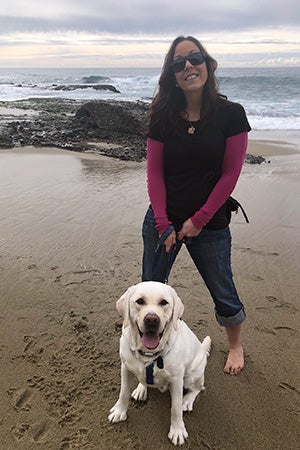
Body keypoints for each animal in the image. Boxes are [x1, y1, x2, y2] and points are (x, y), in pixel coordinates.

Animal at [108, 282, 211, 446]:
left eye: (164, 302)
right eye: (140, 301)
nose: (151, 320)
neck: (149, 355)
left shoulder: (176, 379)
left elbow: (175, 408)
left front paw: (177, 430)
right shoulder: (125, 367)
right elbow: (123, 392)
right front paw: (119, 411)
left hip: (191, 375)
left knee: (198, 388)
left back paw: (187, 400)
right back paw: (141, 388)